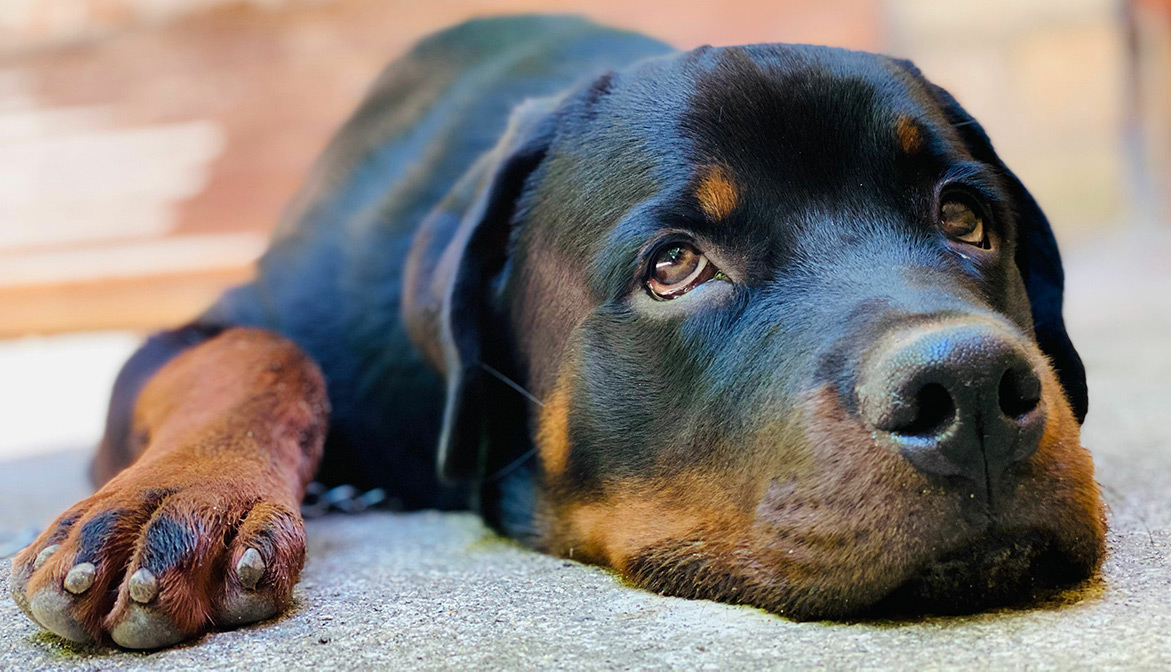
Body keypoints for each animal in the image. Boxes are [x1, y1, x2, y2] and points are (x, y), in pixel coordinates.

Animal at [10, 15, 1105, 649]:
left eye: (963, 218)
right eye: (674, 266)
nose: (970, 391)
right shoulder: (223, 327)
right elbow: (254, 355)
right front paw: (178, 500)